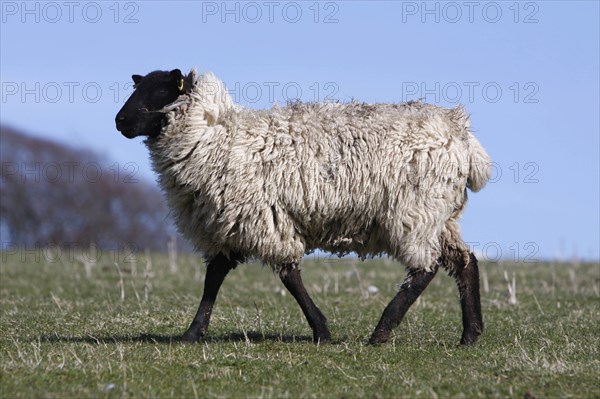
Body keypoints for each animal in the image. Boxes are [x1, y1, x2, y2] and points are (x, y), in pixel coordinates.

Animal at [115, 69, 490, 346]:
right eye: (138, 87)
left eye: (160, 91)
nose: (120, 122)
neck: (215, 136)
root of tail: (462, 134)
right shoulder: (232, 224)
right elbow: (214, 277)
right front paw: (192, 333)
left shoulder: (262, 217)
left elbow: (289, 277)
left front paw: (321, 331)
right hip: (441, 216)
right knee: (464, 262)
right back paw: (470, 336)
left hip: (415, 212)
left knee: (426, 268)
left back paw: (381, 332)